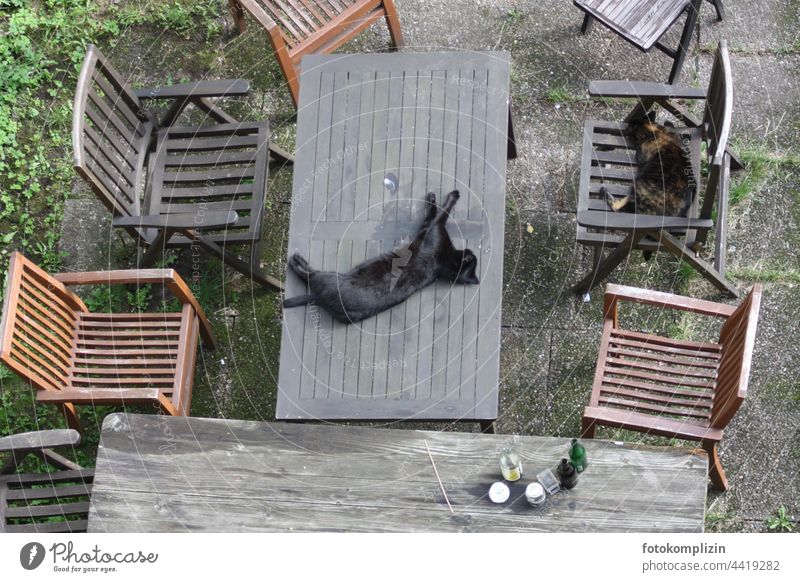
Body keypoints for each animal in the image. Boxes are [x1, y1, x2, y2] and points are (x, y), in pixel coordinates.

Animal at [282, 190, 478, 324]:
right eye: (473, 257)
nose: (471, 251)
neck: (442, 263)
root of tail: (320, 299)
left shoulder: (433, 228)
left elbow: (440, 212)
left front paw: (448, 196)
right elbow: (438, 212)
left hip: (330, 277)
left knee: (310, 276)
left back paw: (296, 261)